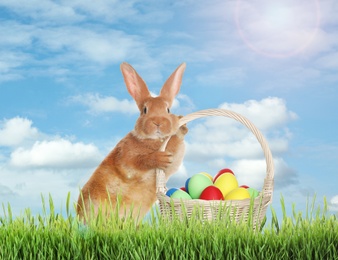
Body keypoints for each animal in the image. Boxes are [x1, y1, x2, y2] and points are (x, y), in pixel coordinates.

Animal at [76, 62, 187, 222]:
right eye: (145, 110)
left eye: (168, 109)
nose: (158, 122)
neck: (154, 140)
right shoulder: (126, 158)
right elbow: (140, 161)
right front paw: (162, 158)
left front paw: (182, 126)